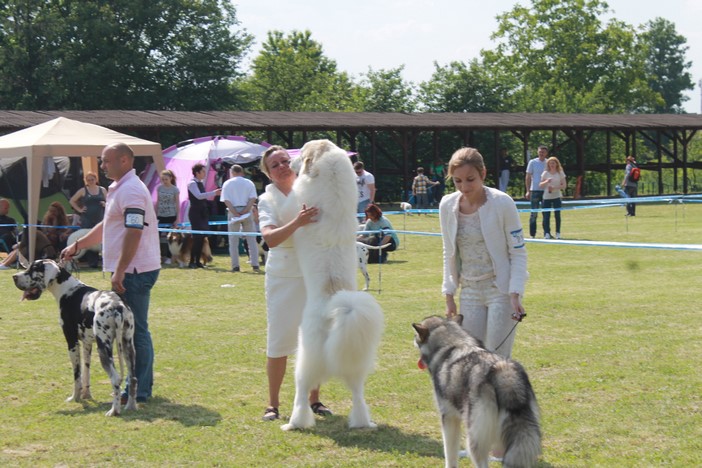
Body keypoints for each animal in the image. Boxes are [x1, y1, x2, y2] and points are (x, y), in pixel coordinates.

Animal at [282, 140, 384, 432]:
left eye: (303, 153)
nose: (289, 162)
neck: (332, 177)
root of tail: (339, 302)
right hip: (355, 362)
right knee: (358, 396)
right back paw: (364, 423)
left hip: (305, 357)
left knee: (301, 393)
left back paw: (293, 423)